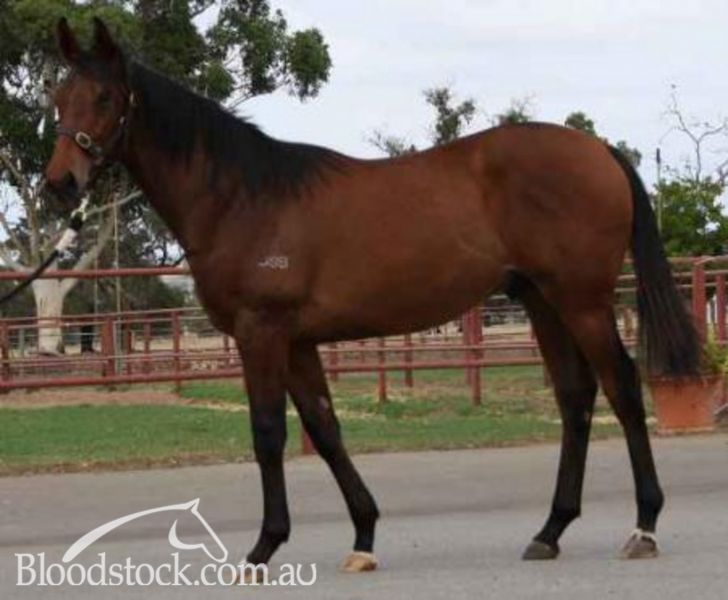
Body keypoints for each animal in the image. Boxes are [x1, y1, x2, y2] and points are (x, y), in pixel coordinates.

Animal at [45, 18, 699, 572]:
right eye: (58, 98)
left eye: (104, 98)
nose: (60, 183)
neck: (242, 199)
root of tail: (600, 150)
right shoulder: (297, 341)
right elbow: (325, 428)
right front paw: (363, 537)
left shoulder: (262, 333)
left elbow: (268, 433)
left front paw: (263, 547)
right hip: (543, 301)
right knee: (575, 396)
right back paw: (550, 531)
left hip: (582, 302)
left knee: (622, 388)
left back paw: (643, 527)